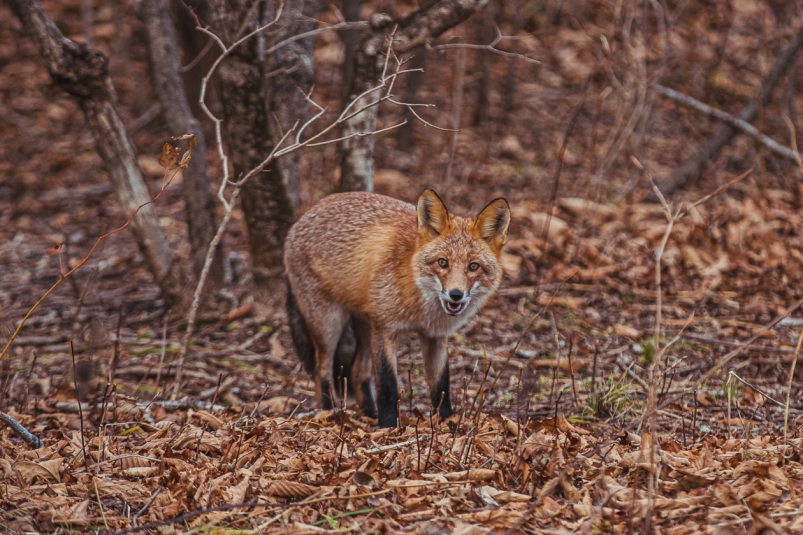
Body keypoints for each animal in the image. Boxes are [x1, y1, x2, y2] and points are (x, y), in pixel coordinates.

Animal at [284, 191, 508, 430]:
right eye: (442, 262)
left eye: (473, 266)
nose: (455, 294)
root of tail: (296, 224)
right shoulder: (385, 328)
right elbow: (387, 383)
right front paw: (388, 426)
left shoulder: (435, 336)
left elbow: (441, 385)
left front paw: (446, 421)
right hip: (329, 324)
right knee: (322, 372)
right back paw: (328, 413)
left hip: (365, 326)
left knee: (357, 372)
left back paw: (368, 414)